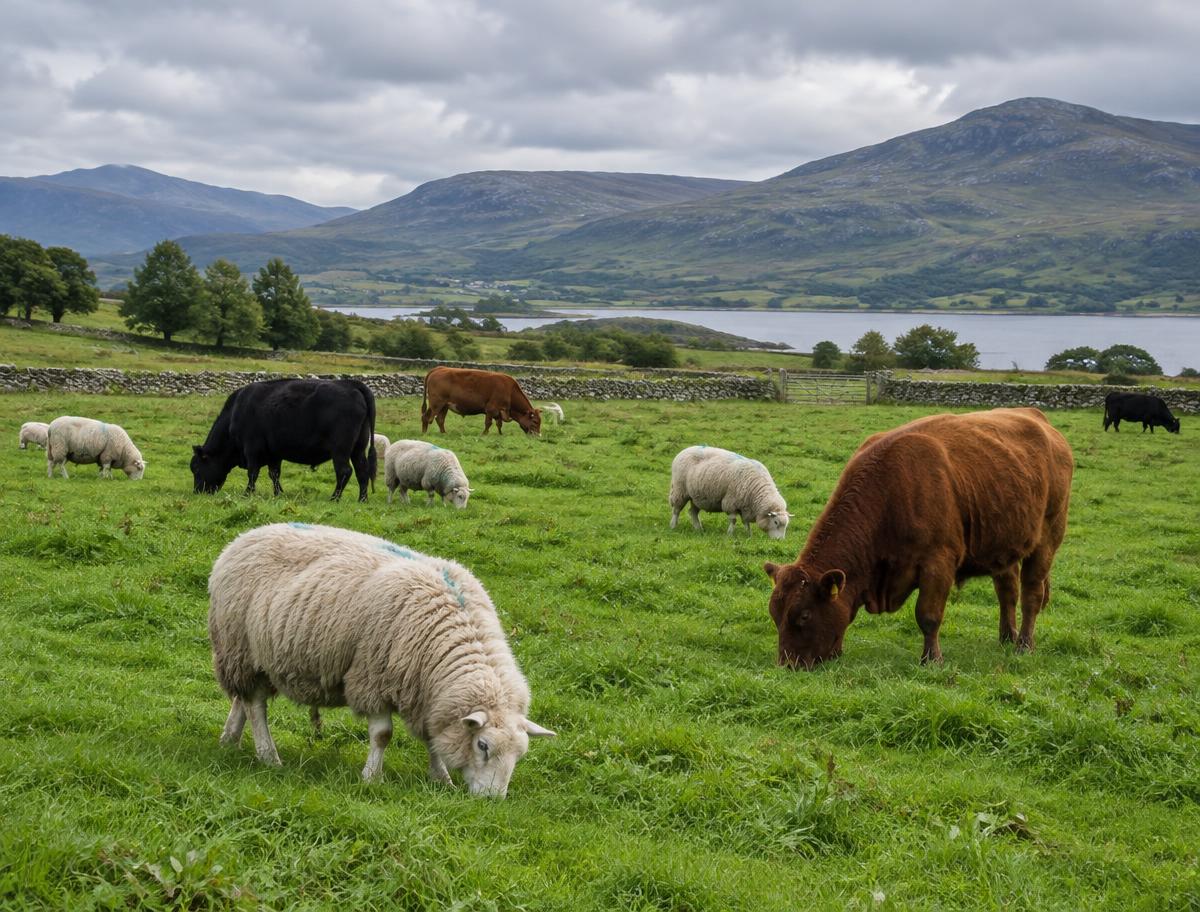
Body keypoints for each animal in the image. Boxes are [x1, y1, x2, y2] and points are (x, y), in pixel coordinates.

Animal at [191, 379, 376, 501]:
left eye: (197, 469)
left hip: (340, 449)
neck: (236, 411)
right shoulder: (274, 453)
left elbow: (253, 473)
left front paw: (247, 493)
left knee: (344, 471)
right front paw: (278, 493)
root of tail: (351, 384)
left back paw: (334, 498)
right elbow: (274, 474)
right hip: (358, 448)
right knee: (362, 471)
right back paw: (362, 499)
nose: (197, 492)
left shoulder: (252, 449)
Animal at [208, 522, 555, 797]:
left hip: (260, 658)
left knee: (243, 700)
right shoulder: (371, 677)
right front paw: (372, 778)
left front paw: (441, 778)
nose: (492, 800)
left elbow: (432, 737)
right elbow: (382, 735)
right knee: (256, 705)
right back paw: (269, 756)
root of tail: (242, 538)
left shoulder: (425, 695)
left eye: (519, 755)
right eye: (483, 746)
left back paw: (229, 740)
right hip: (239, 648)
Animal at [764, 408, 1074, 668]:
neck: (891, 492)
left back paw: (1023, 645)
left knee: (1031, 594)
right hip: (1003, 544)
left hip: (1047, 539)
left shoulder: (938, 563)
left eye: (804, 615)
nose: (787, 665)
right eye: (774, 614)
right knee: (1007, 591)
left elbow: (928, 616)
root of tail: (1039, 419)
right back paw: (1007, 637)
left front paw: (932, 659)